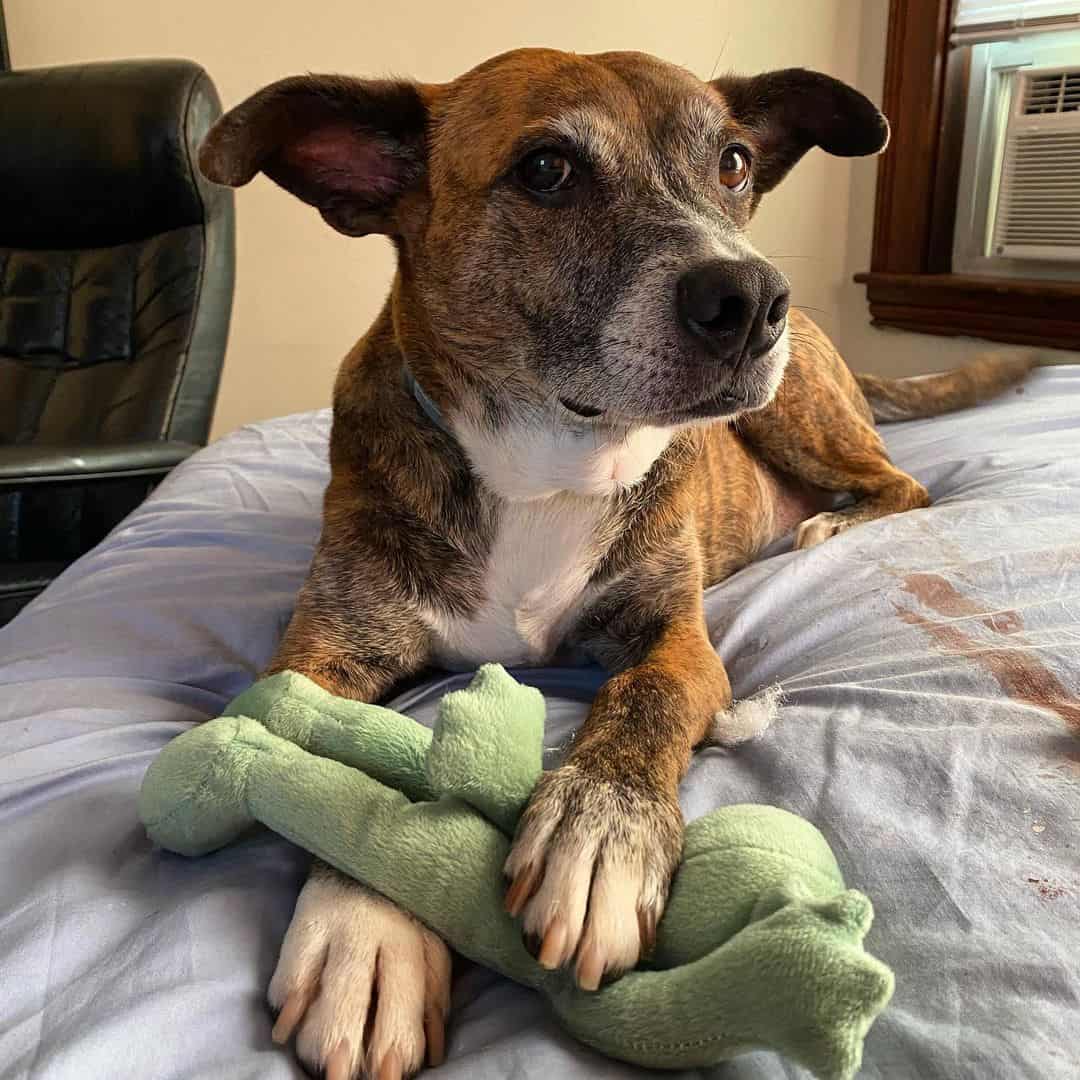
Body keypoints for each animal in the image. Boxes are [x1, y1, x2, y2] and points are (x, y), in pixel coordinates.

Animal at [198, 44, 1032, 1080]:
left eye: (734, 163)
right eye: (547, 169)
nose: (753, 300)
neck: (545, 468)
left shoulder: (677, 636)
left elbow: (647, 696)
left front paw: (599, 831)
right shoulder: (321, 649)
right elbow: (319, 747)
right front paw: (367, 933)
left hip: (797, 412)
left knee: (904, 484)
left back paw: (831, 530)